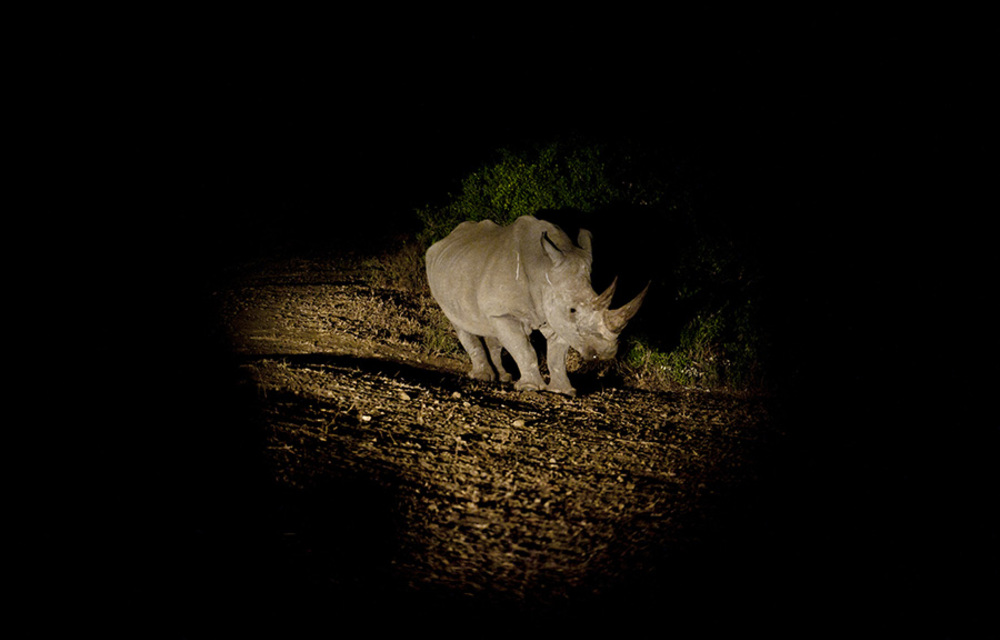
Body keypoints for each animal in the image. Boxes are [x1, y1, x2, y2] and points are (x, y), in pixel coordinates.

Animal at [424, 215, 648, 396]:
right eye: (573, 310)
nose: (606, 352)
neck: (544, 268)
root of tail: (444, 240)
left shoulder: (556, 316)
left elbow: (557, 356)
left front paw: (563, 391)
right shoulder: (507, 314)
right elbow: (525, 350)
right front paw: (531, 388)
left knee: (488, 328)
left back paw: (503, 377)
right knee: (460, 324)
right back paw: (482, 377)